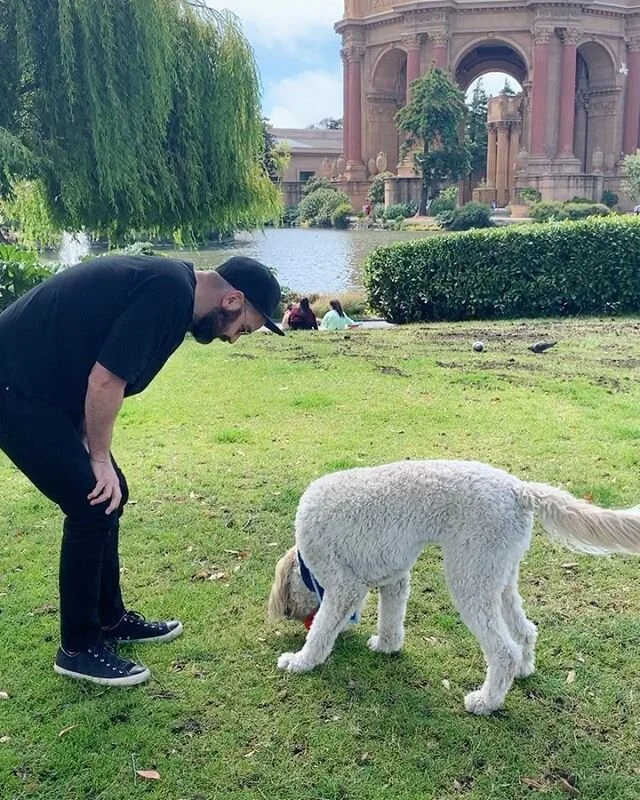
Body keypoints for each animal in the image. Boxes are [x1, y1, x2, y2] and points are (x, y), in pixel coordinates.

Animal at [268, 460, 640, 715]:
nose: (296, 620)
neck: (304, 561)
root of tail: (517, 489)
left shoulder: (344, 585)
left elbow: (322, 630)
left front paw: (301, 661)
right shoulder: (395, 579)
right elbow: (391, 619)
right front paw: (386, 646)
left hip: (469, 579)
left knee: (503, 651)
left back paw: (487, 701)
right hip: (498, 577)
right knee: (525, 631)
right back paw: (522, 670)